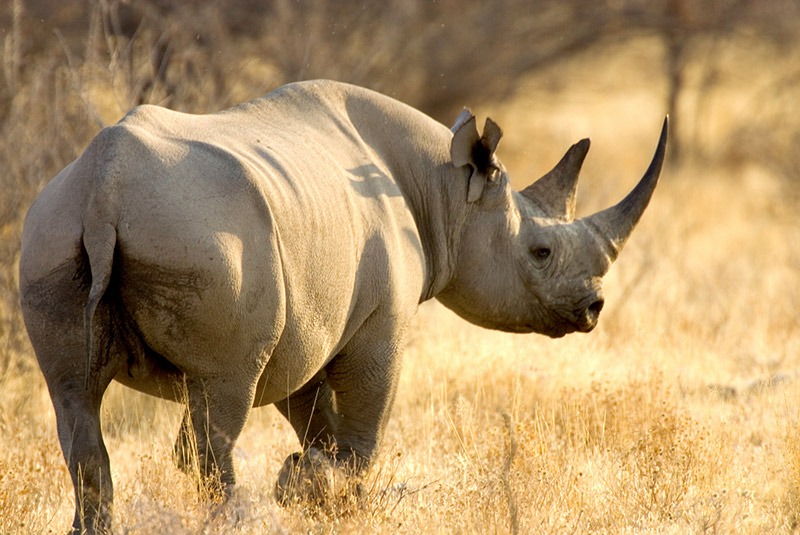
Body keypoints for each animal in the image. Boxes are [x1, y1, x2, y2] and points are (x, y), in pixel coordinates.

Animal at [19, 80, 667, 533]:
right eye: (541, 251)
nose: (593, 308)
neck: (445, 189)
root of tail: (103, 191)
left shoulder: (309, 322)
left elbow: (317, 418)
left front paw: (312, 487)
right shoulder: (379, 324)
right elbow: (361, 430)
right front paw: (308, 489)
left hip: (52, 234)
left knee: (75, 401)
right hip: (206, 242)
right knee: (220, 396)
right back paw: (235, 520)